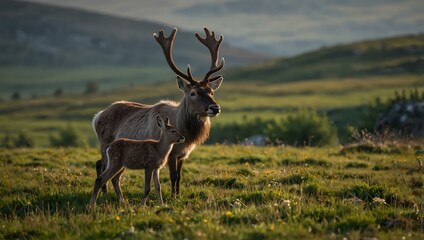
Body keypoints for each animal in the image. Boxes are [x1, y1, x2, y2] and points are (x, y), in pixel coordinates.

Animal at [93, 27, 225, 198]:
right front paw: (173, 197)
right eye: (193, 93)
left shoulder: (183, 154)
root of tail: (97, 116)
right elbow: (173, 176)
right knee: (102, 165)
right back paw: (104, 191)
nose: (215, 108)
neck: (185, 132)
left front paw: (178, 195)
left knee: (99, 163)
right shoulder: (170, 153)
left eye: (212, 92)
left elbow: (179, 176)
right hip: (104, 143)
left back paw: (105, 191)